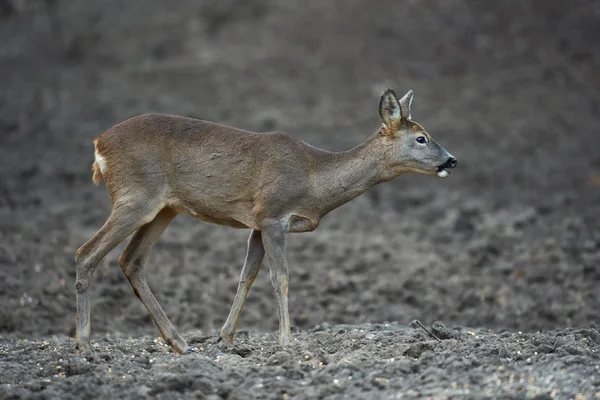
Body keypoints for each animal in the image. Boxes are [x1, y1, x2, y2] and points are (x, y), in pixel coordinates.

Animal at [77, 88, 458, 354]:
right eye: (421, 138)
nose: (452, 160)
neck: (314, 181)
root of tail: (98, 144)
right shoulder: (273, 214)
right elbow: (281, 278)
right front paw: (287, 343)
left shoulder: (258, 224)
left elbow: (247, 276)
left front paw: (226, 338)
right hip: (135, 196)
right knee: (87, 253)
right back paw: (85, 344)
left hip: (163, 209)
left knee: (131, 260)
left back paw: (180, 343)